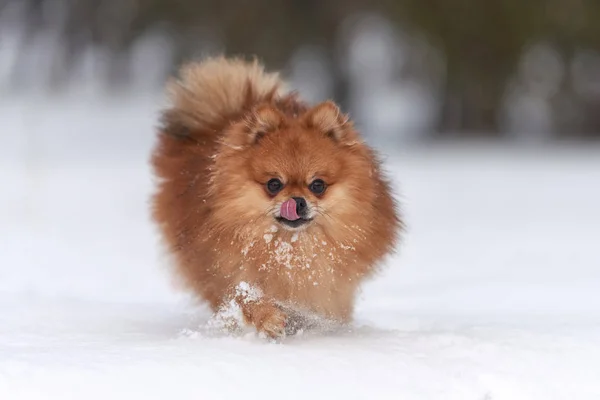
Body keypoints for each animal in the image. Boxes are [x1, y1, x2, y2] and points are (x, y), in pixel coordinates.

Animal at [152, 56, 400, 338]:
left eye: (317, 185)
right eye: (273, 184)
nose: (297, 201)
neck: (290, 249)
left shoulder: (330, 288)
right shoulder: (228, 272)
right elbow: (247, 297)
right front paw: (268, 318)